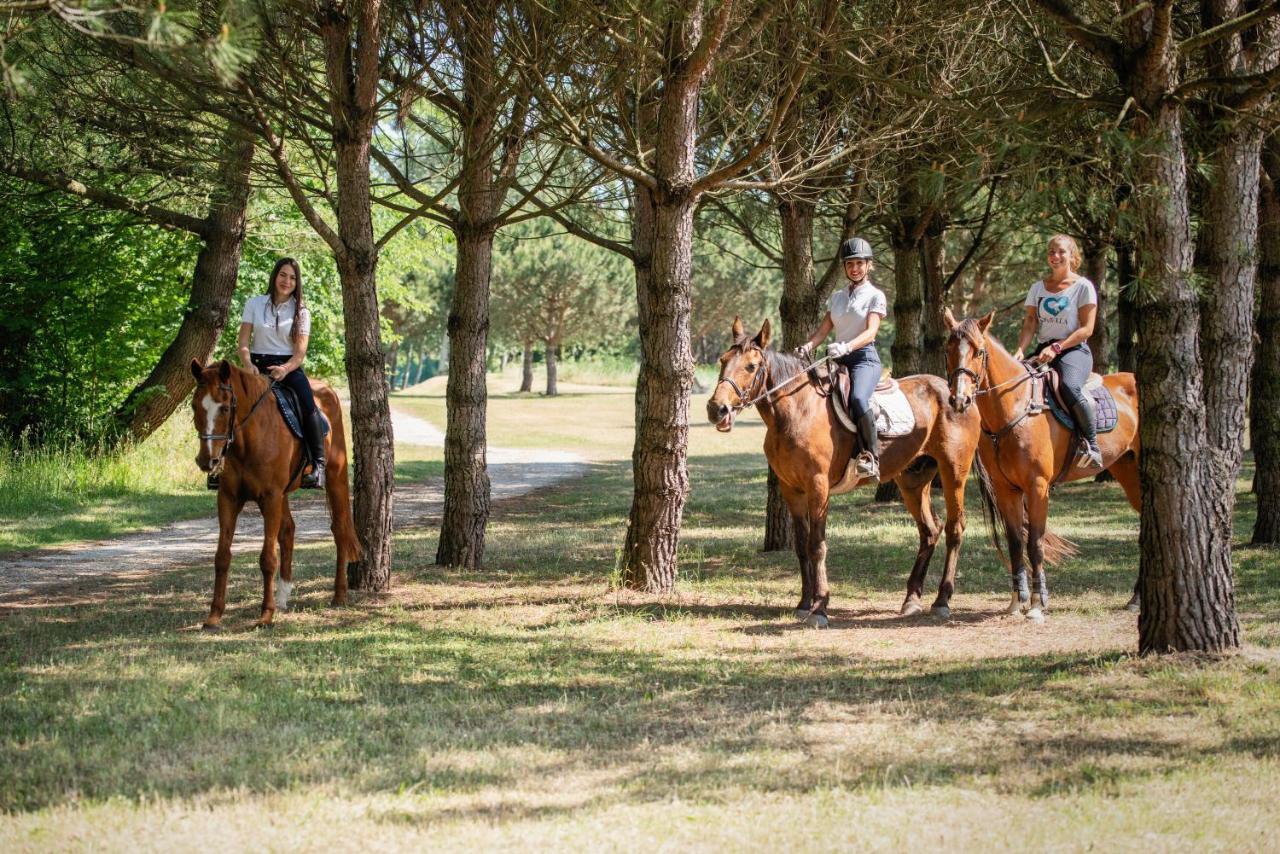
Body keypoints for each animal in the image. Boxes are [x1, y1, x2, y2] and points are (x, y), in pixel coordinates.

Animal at [185, 358, 358, 632]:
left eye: (225, 408)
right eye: (194, 406)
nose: (207, 460)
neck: (247, 441)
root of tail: (326, 390)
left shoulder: (270, 497)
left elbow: (267, 558)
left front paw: (265, 615)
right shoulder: (228, 499)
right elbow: (222, 557)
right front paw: (214, 616)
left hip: (334, 476)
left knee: (340, 529)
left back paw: (339, 595)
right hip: (283, 495)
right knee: (288, 530)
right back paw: (283, 596)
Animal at [706, 317, 983, 624]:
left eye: (751, 366)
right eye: (723, 360)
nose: (716, 409)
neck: (797, 410)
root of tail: (958, 394)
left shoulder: (818, 487)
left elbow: (817, 545)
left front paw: (820, 607)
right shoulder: (791, 489)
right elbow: (801, 545)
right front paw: (804, 602)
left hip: (953, 473)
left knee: (955, 528)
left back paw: (942, 600)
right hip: (913, 480)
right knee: (930, 530)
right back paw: (911, 600)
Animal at [942, 308, 1141, 622]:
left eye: (979, 351)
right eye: (948, 348)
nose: (959, 399)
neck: (1015, 408)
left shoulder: (1038, 487)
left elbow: (1035, 543)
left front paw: (1037, 604)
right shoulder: (1006, 490)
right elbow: (1015, 543)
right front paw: (1016, 602)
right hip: (1128, 471)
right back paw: (1135, 598)